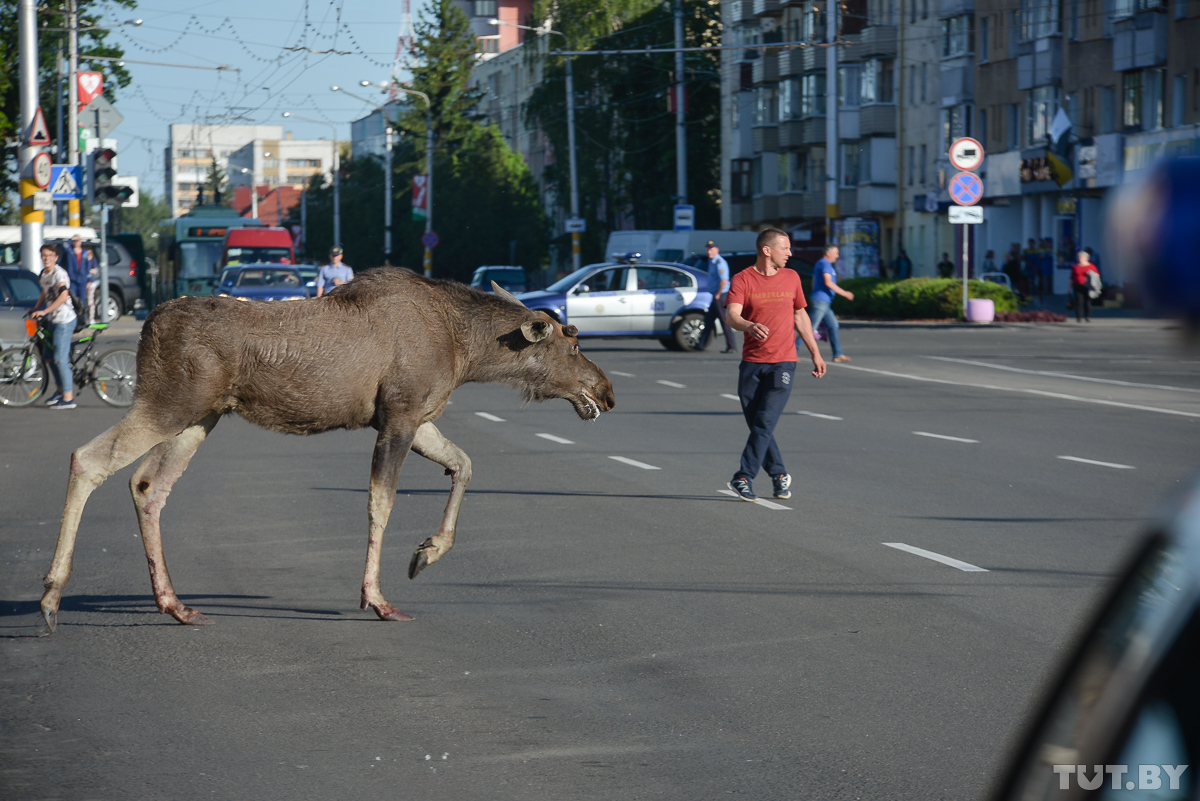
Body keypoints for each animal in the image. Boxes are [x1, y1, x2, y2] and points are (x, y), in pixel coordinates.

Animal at [41, 268, 614, 633]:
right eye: (573, 342)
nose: (607, 391)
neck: (466, 351)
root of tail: (146, 327)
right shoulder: (400, 414)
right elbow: (380, 503)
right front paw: (377, 598)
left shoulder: (413, 418)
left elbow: (465, 465)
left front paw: (425, 552)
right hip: (169, 402)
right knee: (88, 459)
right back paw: (50, 595)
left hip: (199, 416)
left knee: (147, 485)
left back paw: (174, 604)